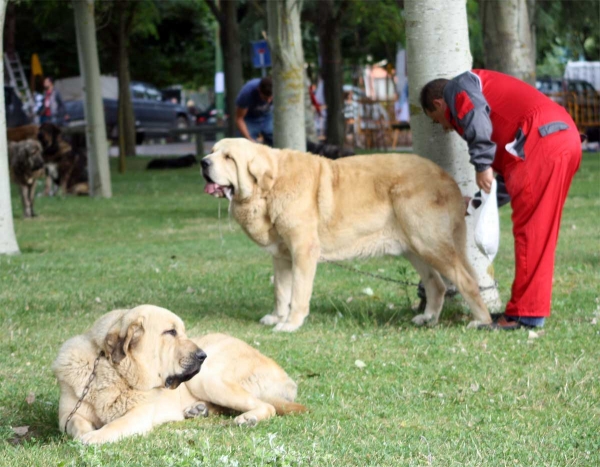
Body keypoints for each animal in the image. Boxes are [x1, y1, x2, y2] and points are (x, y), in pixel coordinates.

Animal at [52, 306, 308, 444]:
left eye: (183, 331)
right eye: (170, 332)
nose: (202, 355)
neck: (112, 371)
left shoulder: (138, 415)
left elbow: (115, 425)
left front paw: (94, 437)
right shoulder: (68, 414)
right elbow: (75, 422)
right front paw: (86, 433)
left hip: (207, 379)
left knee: (267, 406)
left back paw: (248, 417)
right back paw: (199, 410)